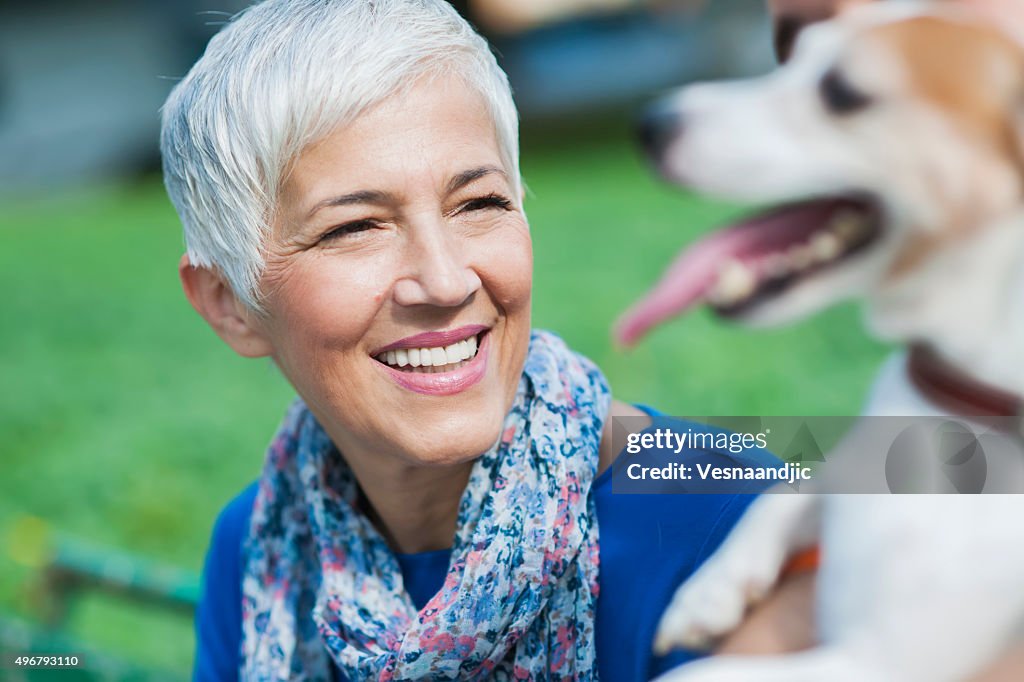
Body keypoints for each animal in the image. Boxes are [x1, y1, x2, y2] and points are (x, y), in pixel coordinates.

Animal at [618, 1, 1024, 679]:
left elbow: (701, 671)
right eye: (797, 53)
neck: (954, 404)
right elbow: (787, 488)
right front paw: (709, 593)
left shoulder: (881, 661)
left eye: (843, 92)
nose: (651, 124)